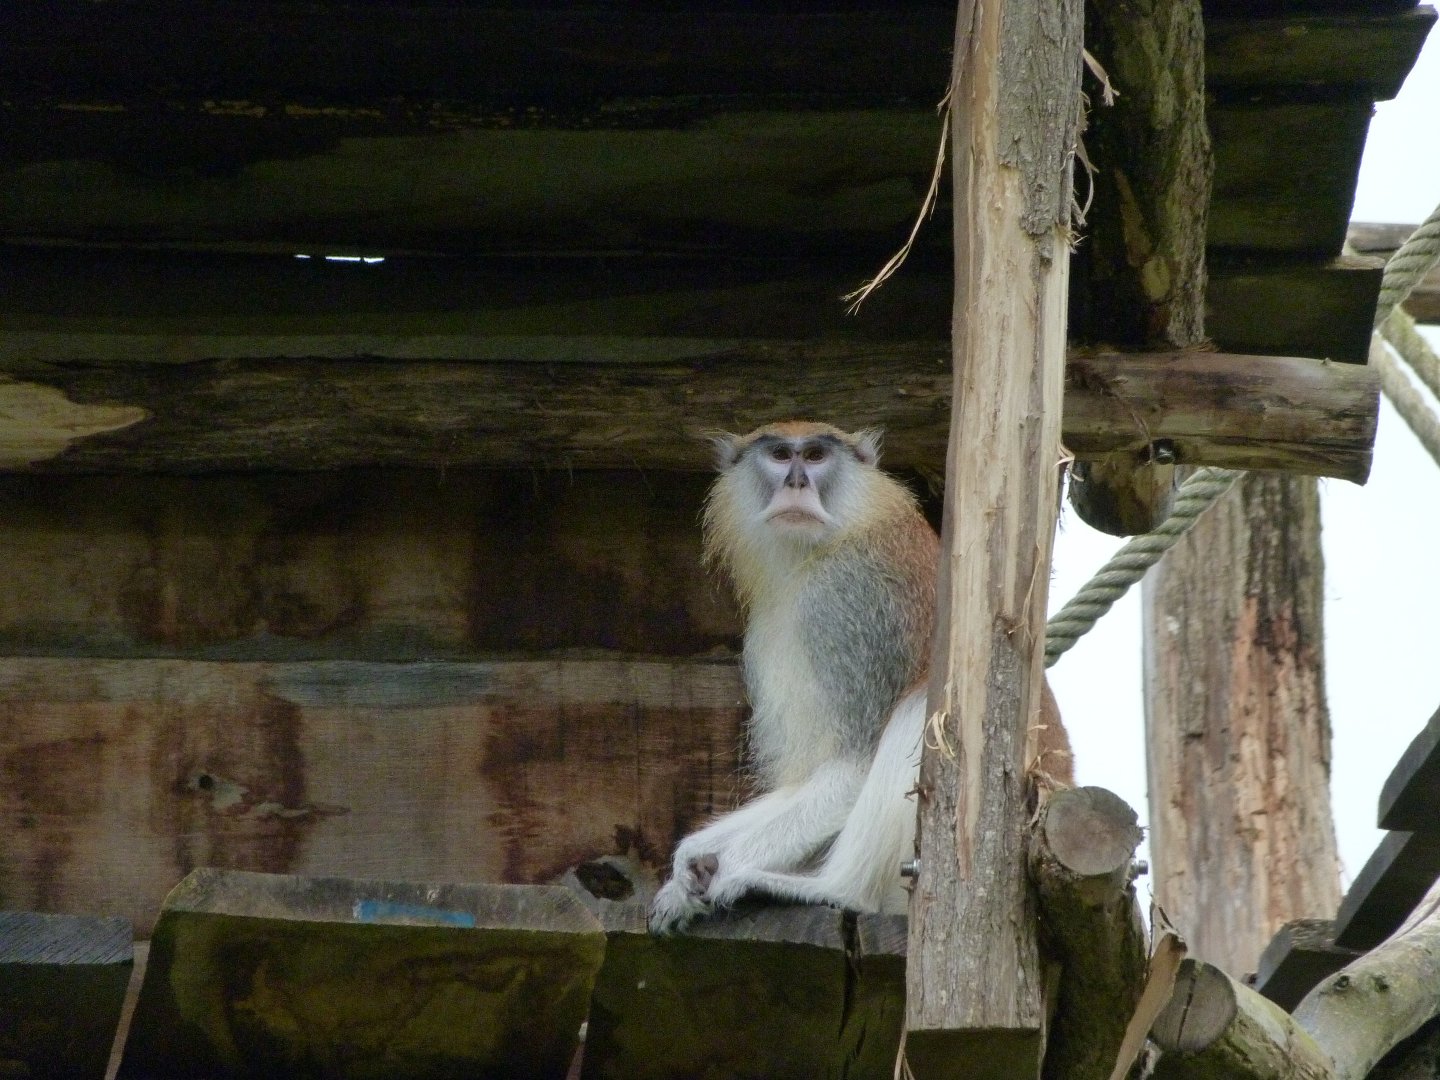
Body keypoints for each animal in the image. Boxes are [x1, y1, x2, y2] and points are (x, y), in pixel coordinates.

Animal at [648, 420, 1071, 933]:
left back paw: (834, 888)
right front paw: (687, 867)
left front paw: (723, 868)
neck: (840, 532)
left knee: (919, 712)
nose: (796, 482)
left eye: (814, 455)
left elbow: (853, 768)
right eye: (779, 454)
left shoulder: (848, 604)